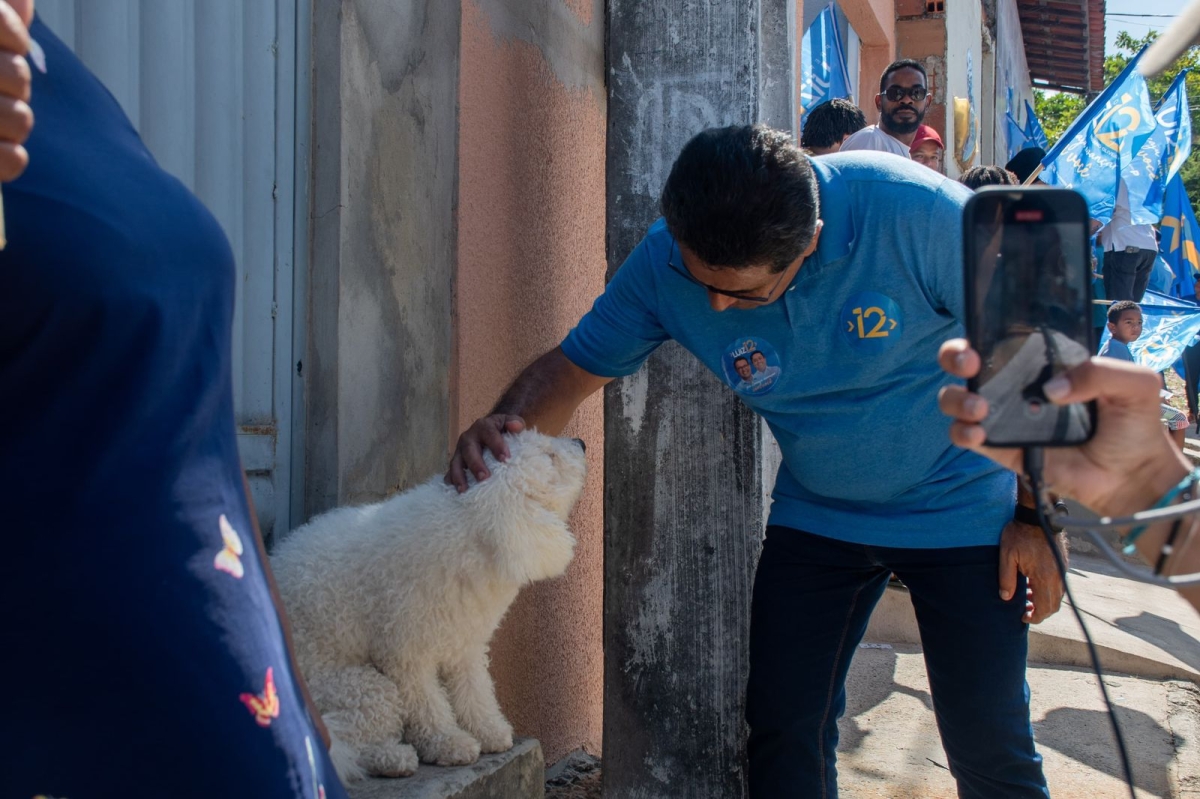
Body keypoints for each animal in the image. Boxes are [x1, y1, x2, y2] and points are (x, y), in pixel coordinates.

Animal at [273, 429, 590, 777]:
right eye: (550, 457)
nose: (581, 443)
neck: (466, 533)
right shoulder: (406, 654)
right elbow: (427, 706)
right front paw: (450, 743)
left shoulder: (466, 643)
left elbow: (475, 690)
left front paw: (489, 730)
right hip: (359, 689)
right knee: (343, 744)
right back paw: (393, 758)